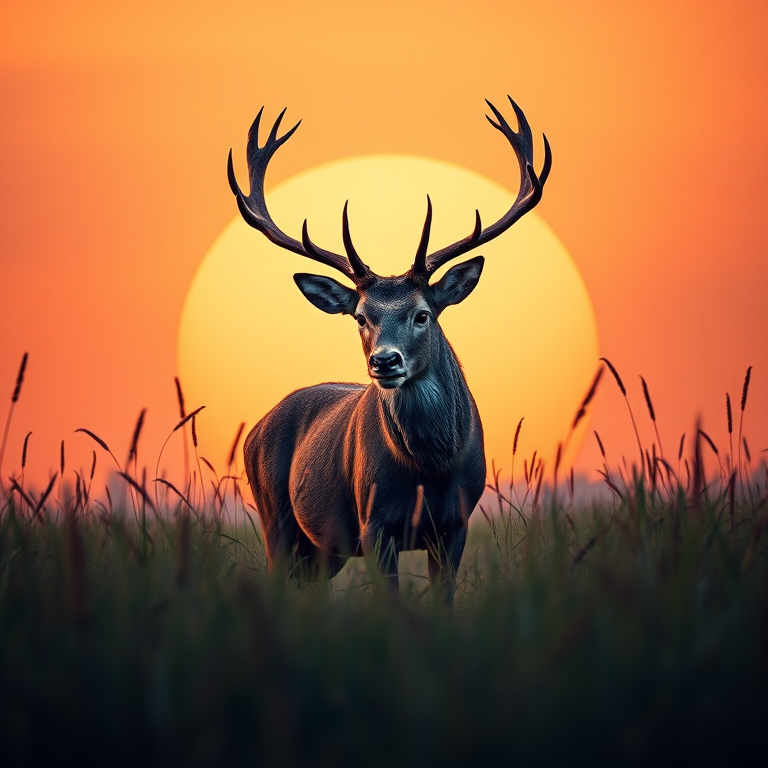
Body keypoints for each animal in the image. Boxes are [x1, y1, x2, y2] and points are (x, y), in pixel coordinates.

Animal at [228, 97, 551, 603]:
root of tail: (255, 428)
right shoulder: (374, 522)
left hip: (322, 549)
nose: (384, 360)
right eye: (361, 317)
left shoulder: (456, 523)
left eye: (423, 314)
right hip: (275, 517)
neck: (428, 468)